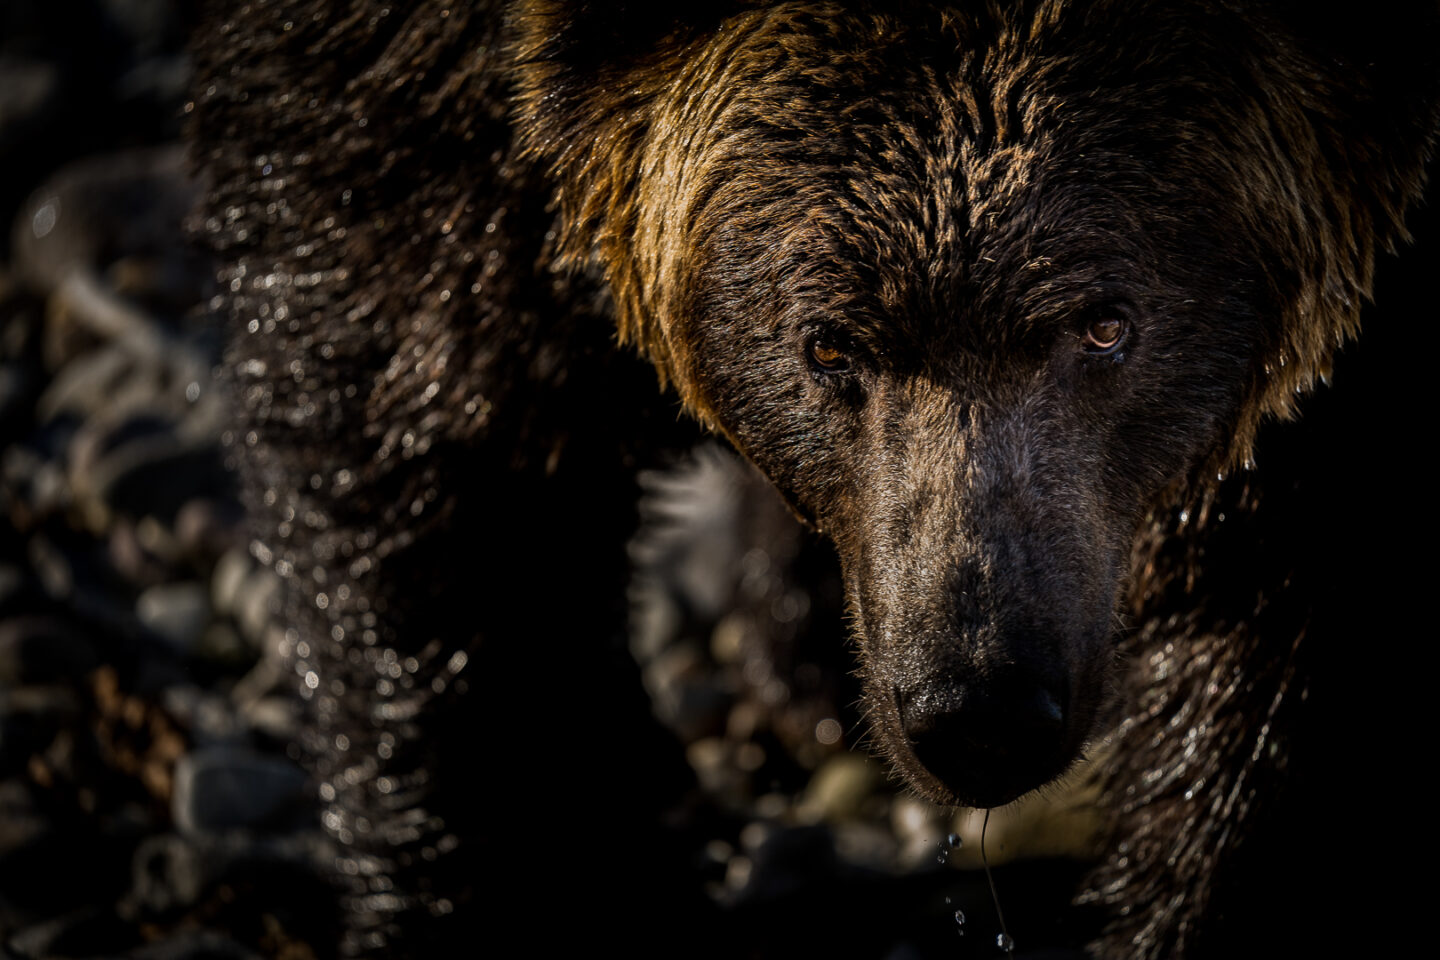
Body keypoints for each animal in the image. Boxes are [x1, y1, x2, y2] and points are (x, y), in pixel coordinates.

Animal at [194, 0, 1440, 955]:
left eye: (1107, 324)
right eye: (828, 345)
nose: (981, 706)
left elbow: (1307, 623)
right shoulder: (402, 92)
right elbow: (432, 399)